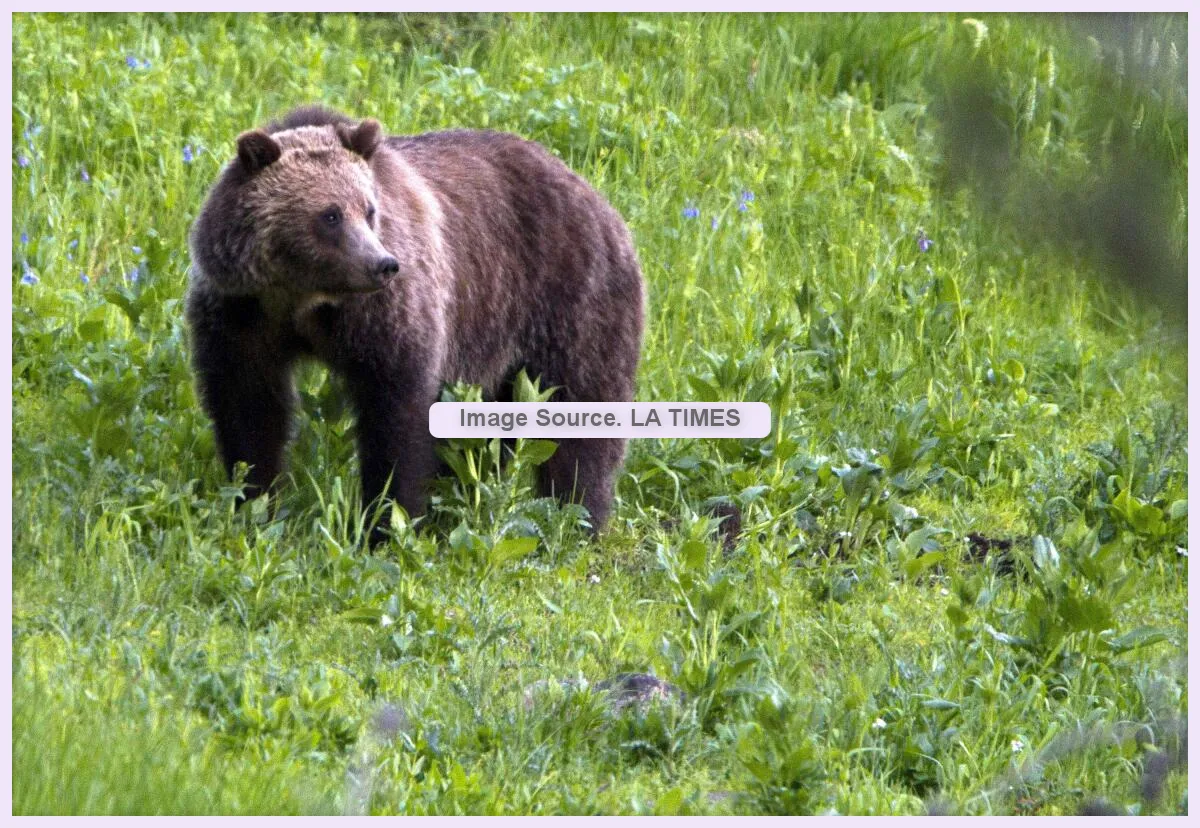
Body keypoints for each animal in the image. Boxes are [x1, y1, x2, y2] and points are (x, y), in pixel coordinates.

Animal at [186, 105, 643, 542]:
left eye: (369, 210)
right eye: (330, 215)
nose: (382, 264)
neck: (304, 299)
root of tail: (595, 195)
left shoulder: (385, 317)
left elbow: (397, 414)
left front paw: (387, 521)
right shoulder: (242, 314)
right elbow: (249, 407)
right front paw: (254, 502)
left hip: (569, 299)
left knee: (582, 411)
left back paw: (577, 517)